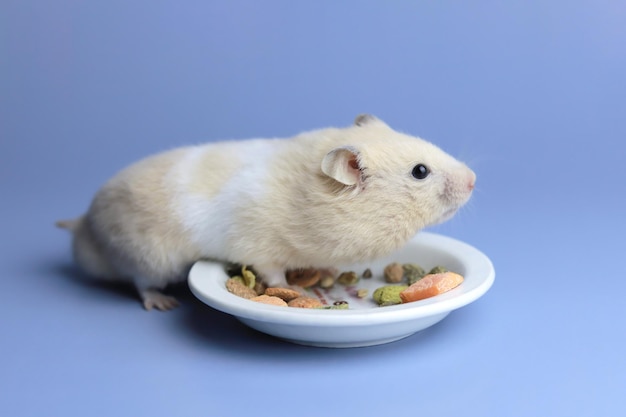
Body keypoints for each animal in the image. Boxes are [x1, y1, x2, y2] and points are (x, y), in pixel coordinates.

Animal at [57, 114, 472, 308]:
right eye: (420, 172)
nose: (474, 180)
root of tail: (85, 226)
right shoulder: (261, 250)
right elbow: (273, 273)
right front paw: (293, 287)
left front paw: (324, 273)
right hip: (149, 258)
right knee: (140, 284)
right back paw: (163, 302)